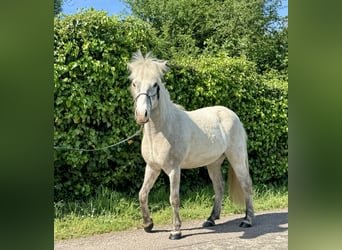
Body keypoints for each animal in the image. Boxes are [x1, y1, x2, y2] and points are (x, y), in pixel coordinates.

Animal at [128, 50, 254, 240]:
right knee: (219, 187)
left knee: (246, 184)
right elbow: (142, 194)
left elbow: (174, 198)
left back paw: (247, 220)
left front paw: (176, 231)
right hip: (214, 163)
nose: (142, 115)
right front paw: (148, 225)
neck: (162, 129)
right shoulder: (152, 167)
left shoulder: (174, 169)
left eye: (155, 85)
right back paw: (211, 219)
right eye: (134, 83)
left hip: (237, 158)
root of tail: (233, 115)